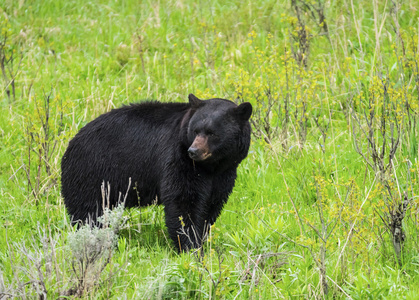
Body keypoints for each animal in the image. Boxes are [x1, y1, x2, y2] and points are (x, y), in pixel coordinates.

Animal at [61, 94, 253, 251]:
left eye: (212, 133)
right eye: (195, 130)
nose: (193, 151)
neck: (211, 166)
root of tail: (71, 144)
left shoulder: (224, 173)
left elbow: (212, 204)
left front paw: (201, 238)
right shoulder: (178, 158)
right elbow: (184, 201)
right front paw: (191, 246)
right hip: (91, 175)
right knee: (88, 212)